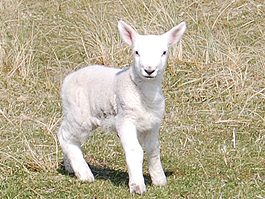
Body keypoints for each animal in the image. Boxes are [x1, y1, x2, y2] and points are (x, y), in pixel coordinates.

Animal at [57, 20, 186, 194]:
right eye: (136, 52)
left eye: (164, 52)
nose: (149, 70)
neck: (144, 94)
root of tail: (68, 79)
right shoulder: (125, 119)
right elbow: (135, 150)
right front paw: (137, 186)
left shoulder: (153, 123)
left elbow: (153, 150)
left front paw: (159, 180)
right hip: (79, 114)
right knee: (64, 135)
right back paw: (84, 174)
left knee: (70, 138)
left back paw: (71, 168)